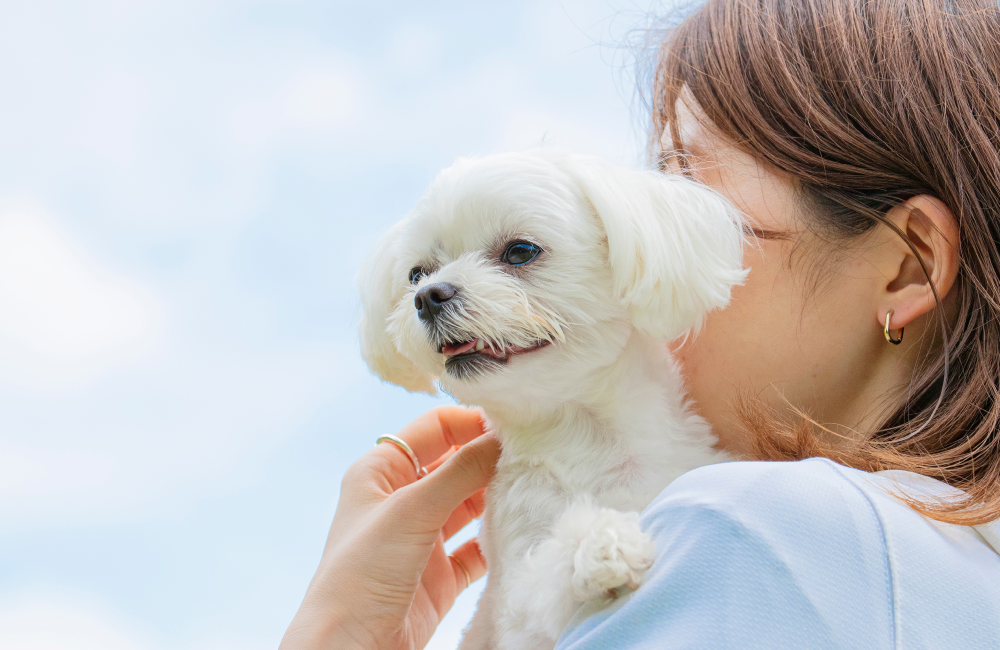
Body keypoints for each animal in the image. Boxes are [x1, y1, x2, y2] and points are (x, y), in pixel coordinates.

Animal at [358, 149, 744, 644]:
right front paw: (600, 545)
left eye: (521, 251)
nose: (427, 296)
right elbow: (536, 590)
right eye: (416, 274)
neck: (588, 439)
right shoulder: (517, 591)